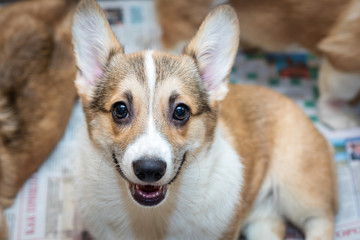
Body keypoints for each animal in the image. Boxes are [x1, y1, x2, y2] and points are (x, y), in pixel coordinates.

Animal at [72, 0, 338, 239]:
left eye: (181, 111)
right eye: (120, 109)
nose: (149, 170)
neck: (154, 217)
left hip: (299, 191)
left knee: (322, 221)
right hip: (262, 219)